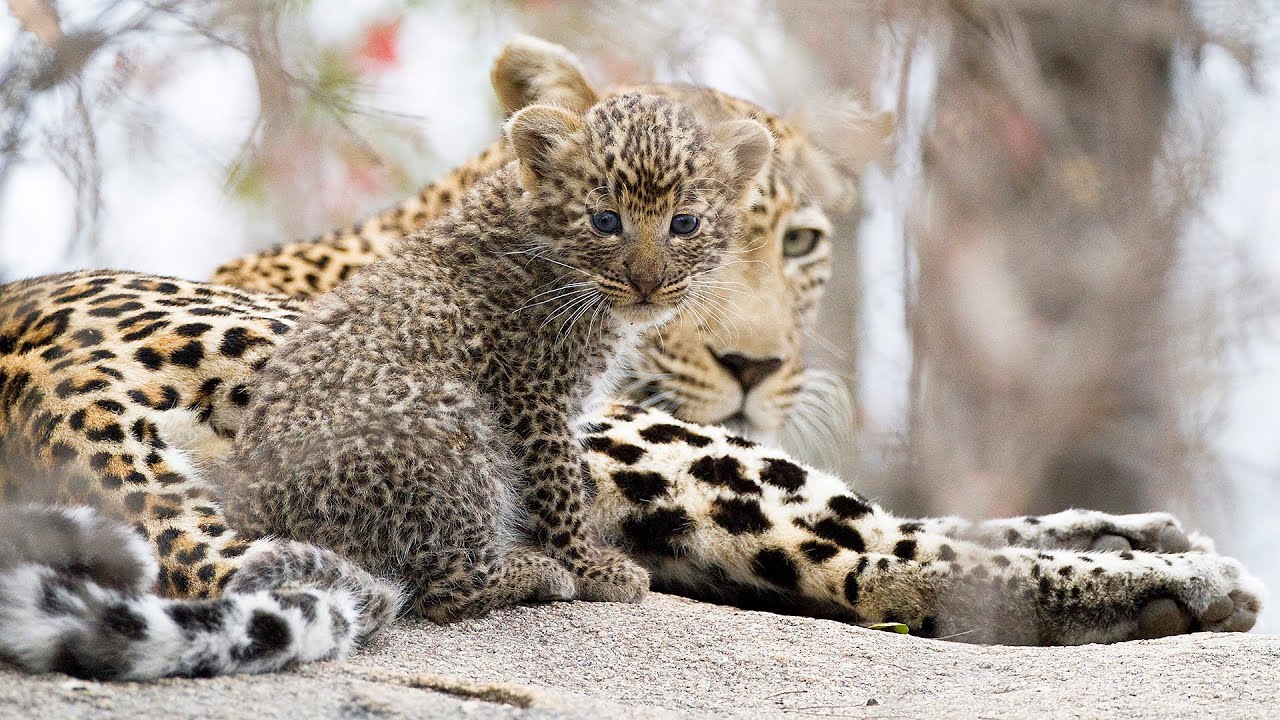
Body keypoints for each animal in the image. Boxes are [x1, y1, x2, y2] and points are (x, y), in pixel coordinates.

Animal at [219, 91, 774, 621]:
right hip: (452, 433)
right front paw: (591, 567)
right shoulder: (530, 392)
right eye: (605, 220)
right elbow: (558, 486)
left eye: (684, 223)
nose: (647, 282)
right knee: (443, 589)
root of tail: (256, 520)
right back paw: (535, 572)